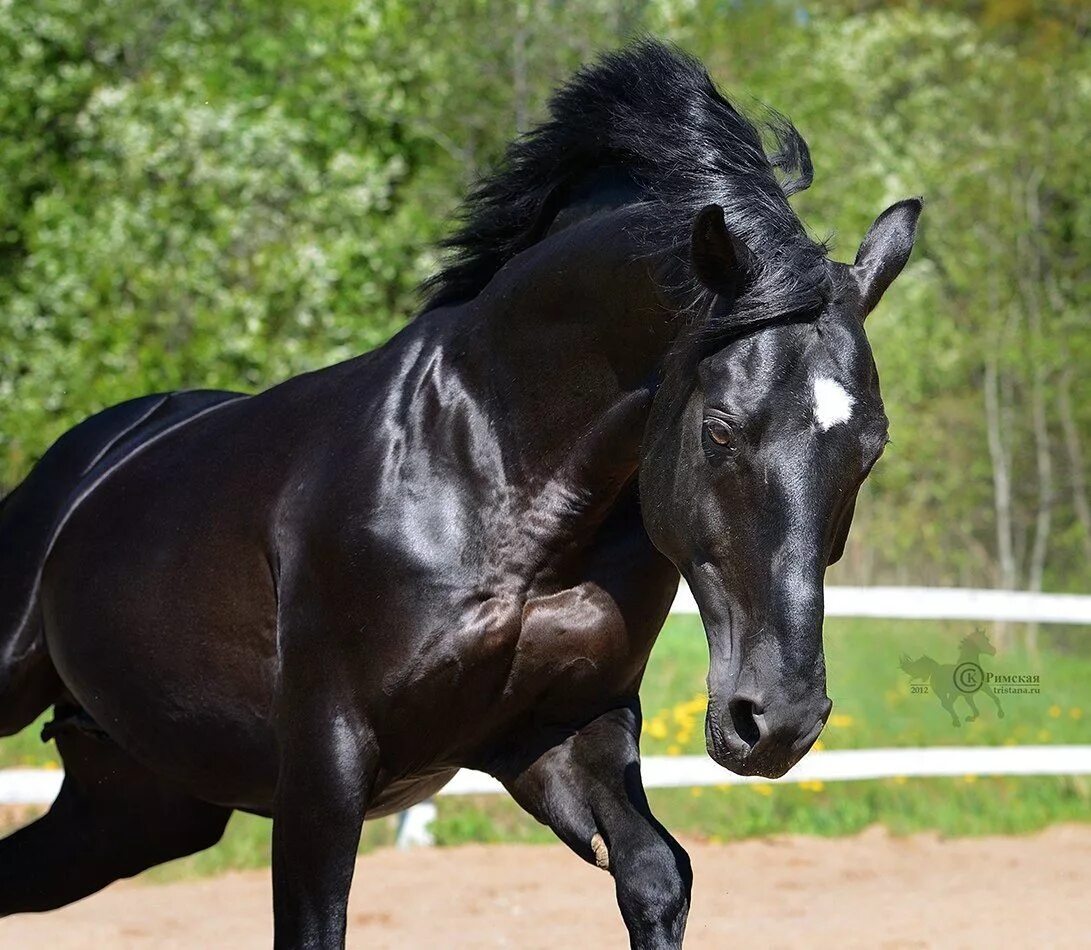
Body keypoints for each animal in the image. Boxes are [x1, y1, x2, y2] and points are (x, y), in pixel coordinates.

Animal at [0, 44, 920, 950]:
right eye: (723, 430)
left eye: (870, 447)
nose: (778, 722)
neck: (495, 485)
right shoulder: (323, 767)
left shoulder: (555, 735)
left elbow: (656, 875)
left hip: (137, 804)